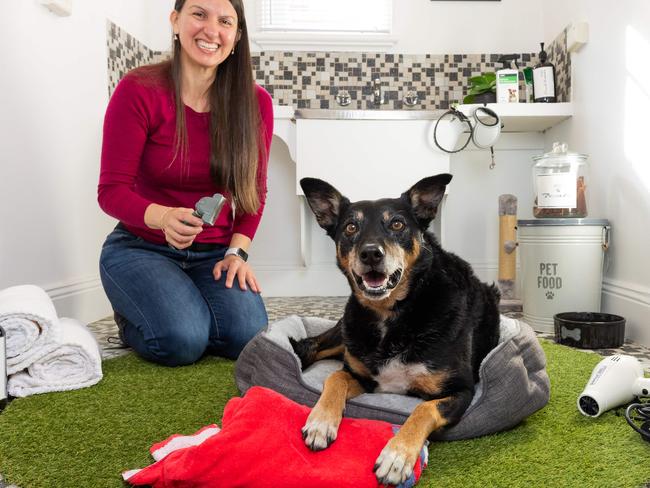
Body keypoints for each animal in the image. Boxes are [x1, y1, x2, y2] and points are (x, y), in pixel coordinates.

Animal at [292, 173, 498, 486]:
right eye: (351, 227)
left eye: (398, 224)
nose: (370, 254)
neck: (393, 314)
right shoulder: (364, 377)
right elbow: (336, 377)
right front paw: (320, 422)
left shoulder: (462, 389)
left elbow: (424, 408)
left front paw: (397, 456)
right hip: (348, 330)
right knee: (313, 345)